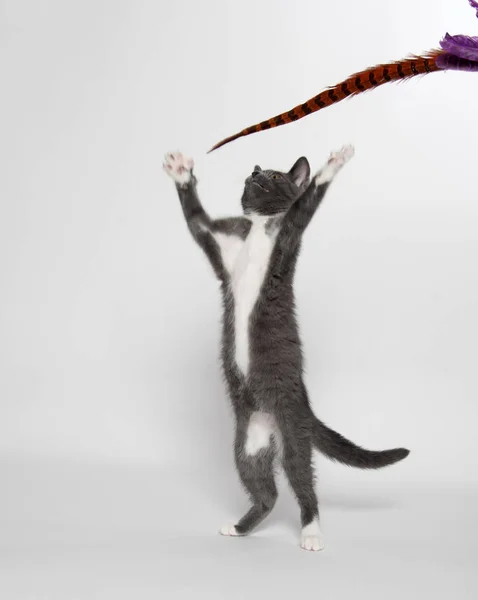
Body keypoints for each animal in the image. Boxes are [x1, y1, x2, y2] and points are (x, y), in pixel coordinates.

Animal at [163, 146, 408, 552]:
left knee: (303, 483)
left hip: (293, 432)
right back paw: (241, 527)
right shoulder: (220, 243)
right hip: (248, 443)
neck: (260, 228)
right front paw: (181, 171)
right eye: (257, 170)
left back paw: (311, 532)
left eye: (276, 176)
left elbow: (307, 201)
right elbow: (196, 217)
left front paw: (334, 162)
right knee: (267, 493)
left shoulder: (290, 234)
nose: (255, 172)